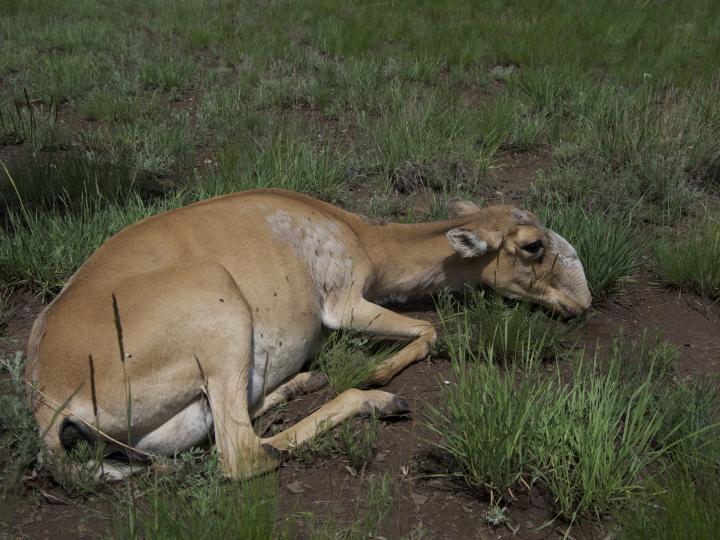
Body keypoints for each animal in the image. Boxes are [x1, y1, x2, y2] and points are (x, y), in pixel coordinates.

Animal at [26, 188, 592, 478]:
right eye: (534, 245)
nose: (584, 303)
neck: (360, 235)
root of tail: (47, 395)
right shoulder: (345, 304)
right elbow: (428, 330)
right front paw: (378, 371)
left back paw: (306, 382)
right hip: (225, 320)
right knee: (246, 453)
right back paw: (376, 399)